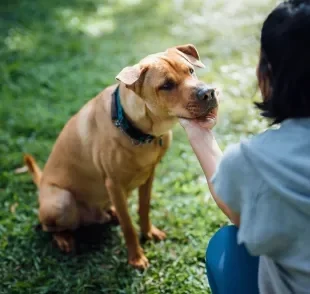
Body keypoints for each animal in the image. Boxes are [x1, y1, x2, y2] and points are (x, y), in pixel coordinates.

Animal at [24, 43, 218, 268]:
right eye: (167, 85)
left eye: (191, 71)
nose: (209, 93)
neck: (139, 131)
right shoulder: (114, 184)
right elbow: (128, 226)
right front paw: (136, 257)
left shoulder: (149, 175)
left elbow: (144, 208)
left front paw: (148, 233)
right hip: (61, 202)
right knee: (49, 227)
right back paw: (64, 238)